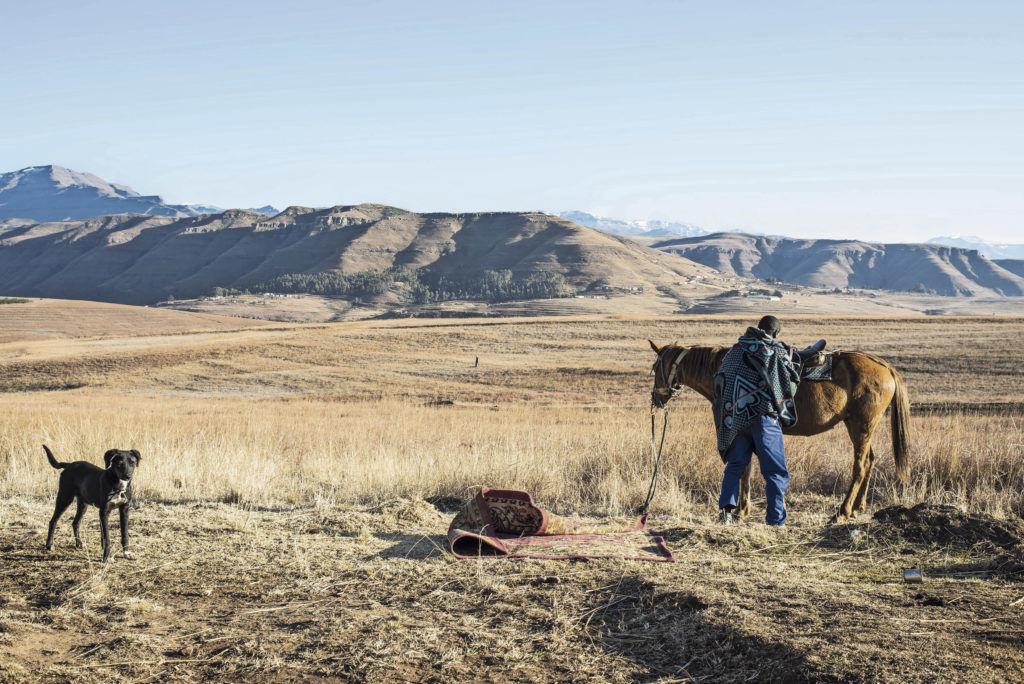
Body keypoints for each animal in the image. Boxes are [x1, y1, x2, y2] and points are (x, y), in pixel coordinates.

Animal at [651, 339, 909, 520]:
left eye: (655, 367)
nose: (656, 398)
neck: (722, 371)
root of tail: (886, 367)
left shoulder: (739, 430)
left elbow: (743, 468)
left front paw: (739, 510)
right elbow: (747, 468)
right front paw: (743, 509)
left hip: (861, 424)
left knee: (861, 465)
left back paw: (842, 512)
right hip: (861, 426)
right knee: (870, 460)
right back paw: (858, 507)